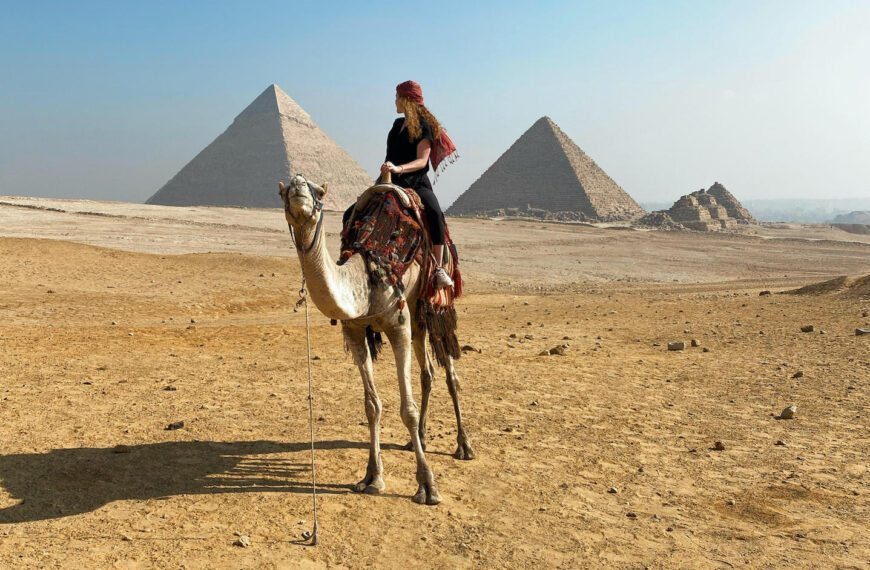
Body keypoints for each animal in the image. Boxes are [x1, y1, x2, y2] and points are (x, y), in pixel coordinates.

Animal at [278, 175, 470, 504]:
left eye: (318, 192)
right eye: (284, 191)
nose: (298, 186)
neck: (365, 277)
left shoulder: (398, 326)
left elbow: (407, 409)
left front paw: (427, 485)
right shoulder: (355, 331)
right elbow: (372, 405)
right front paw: (372, 477)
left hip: (435, 307)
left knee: (449, 375)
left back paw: (464, 445)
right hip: (416, 313)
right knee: (428, 372)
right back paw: (418, 438)